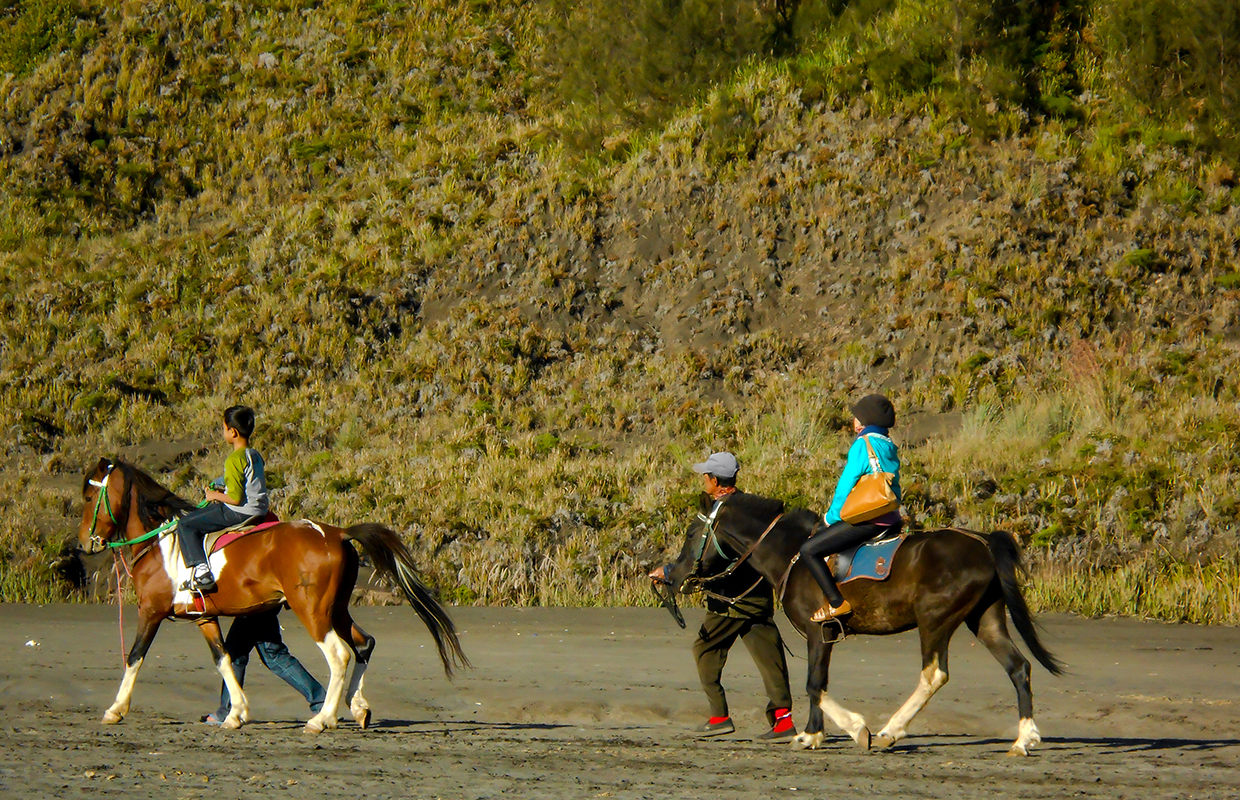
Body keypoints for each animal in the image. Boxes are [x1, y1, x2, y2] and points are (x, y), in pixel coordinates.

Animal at [77, 458, 466, 734]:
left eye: (88, 496)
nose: (82, 544)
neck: (159, 545)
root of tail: (338, 533)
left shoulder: (150, 611)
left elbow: (135, 657)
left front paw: (115, 709)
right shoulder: (205, 617)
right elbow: (224, 658)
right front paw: (235, 713)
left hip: (313, 612)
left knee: (340, 654)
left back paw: (322, 719)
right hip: (336, 609)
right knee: (363, 644)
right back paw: (358, 708)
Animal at [669, 493, 1066, 754]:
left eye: (690, 534)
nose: (673, 574)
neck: (794, 554)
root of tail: (981, 541)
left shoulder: (817, 631)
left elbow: (814, 685)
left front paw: (850, 729)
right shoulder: (826, 635)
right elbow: (819, 683)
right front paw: (814, 734)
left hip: (934, 620)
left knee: (934, 675)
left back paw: (891, 730)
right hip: (984, 619)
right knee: (1019, 667)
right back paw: (1023, 738)